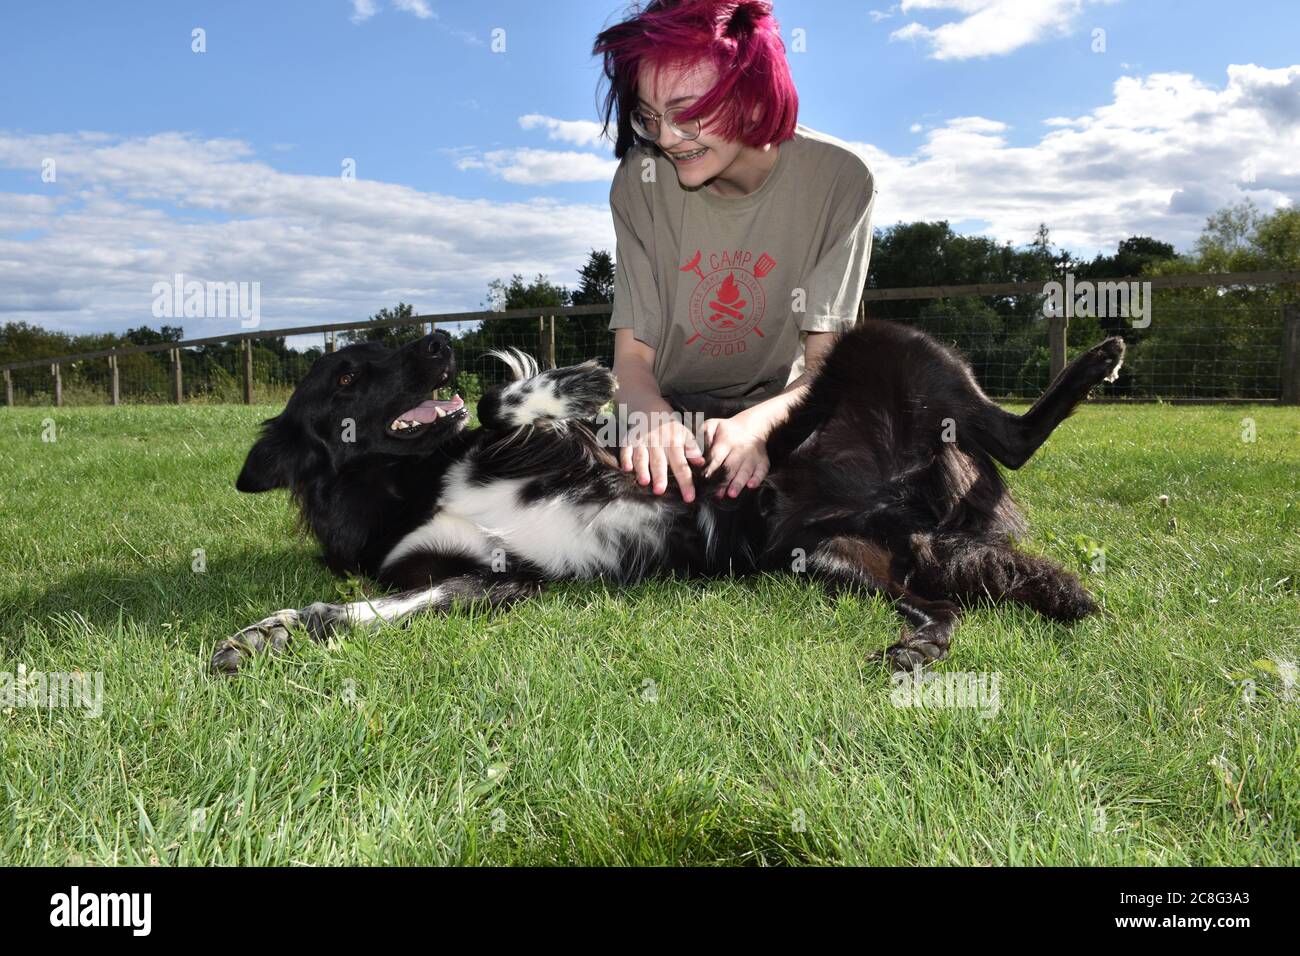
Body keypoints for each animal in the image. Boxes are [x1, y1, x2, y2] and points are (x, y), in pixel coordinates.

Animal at [208, 319, 1123, 671]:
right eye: (346, 373)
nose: (438, 340)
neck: (411, 478)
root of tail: (912, 500)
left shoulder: (568, 454)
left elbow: (509, 401)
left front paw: (571, 378)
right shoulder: (489, 581)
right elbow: (347, 615)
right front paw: (268, 633)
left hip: (890, 343)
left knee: (1014, 434)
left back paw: (1095, 361)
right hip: (835, 558)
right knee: (947, 606)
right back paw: (919, 649)